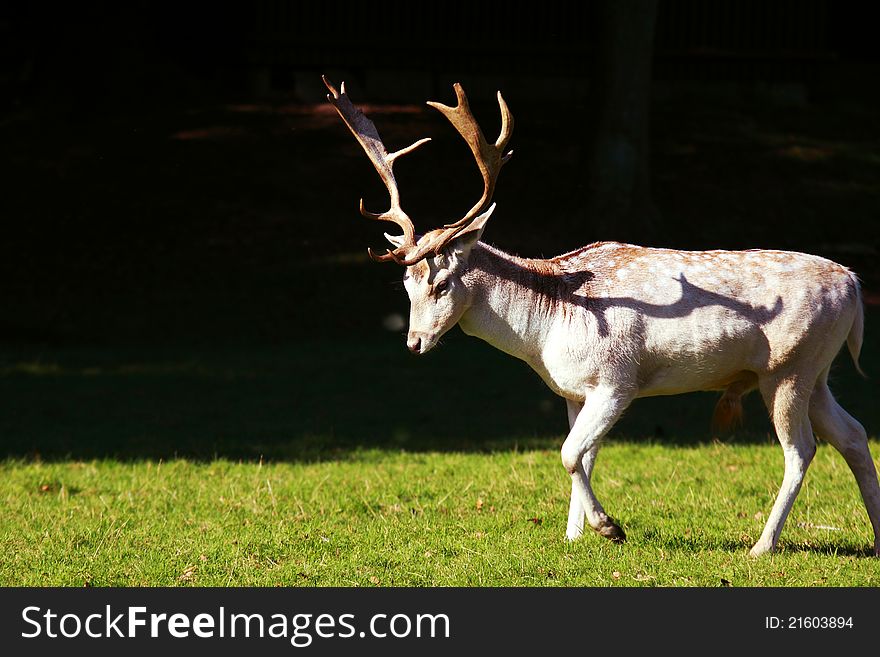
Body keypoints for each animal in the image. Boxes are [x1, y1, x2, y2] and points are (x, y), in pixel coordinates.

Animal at [324, 77, 880, 560]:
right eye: (406, 284)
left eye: (441, 285)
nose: (414, 343)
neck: (546, 331)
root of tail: (854, 285)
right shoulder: (574, 390)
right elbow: (582, 454)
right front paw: (574, 537)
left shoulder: (617, 380)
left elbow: (570, 454)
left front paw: (609, 528)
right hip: (816, 371)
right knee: (853, 434)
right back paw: (874, 539)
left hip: (788, 367)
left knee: (801, 450)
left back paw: (761, 546)